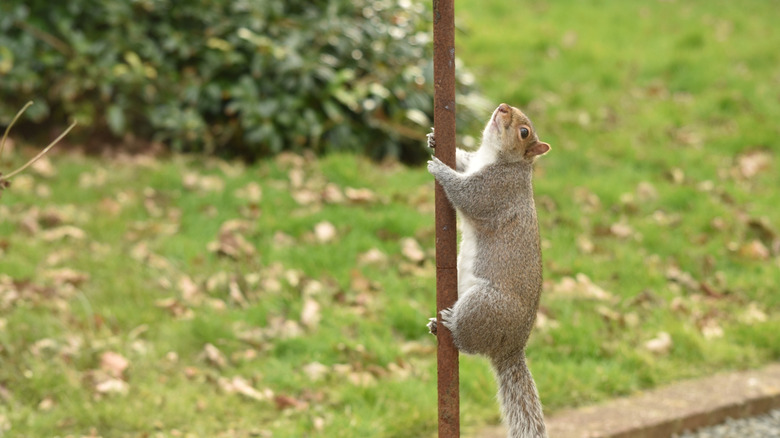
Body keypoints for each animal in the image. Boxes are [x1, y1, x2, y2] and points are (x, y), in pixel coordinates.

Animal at [427, 103, 550, 438]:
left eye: (524, 132)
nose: (504, 107)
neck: (493, 156)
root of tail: (510, 347)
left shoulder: (495, 190)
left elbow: (466, 195)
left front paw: (439, 169)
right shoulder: (473, 163)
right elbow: (463, 160)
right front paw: (433, 140)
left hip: (483, 305)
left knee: (468, 345)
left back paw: (450, 324)